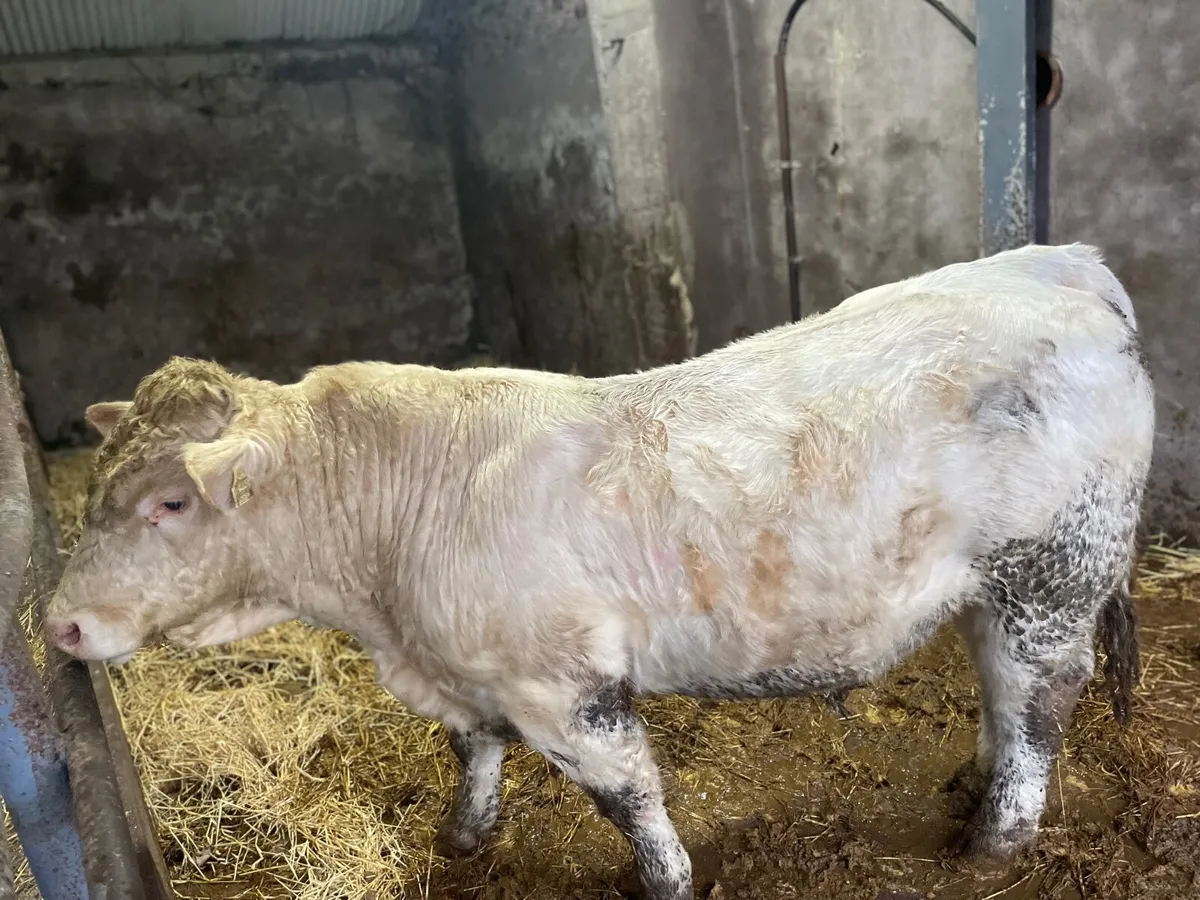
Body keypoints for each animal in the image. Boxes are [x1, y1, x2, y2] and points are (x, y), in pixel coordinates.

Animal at [45, 243, 1153, 900]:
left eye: (170, 502)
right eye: (100, 484)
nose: (59, 626)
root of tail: (1057, 262)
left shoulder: (567, 687)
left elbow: (629, 798)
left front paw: (666, 879)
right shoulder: (469, 669)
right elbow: (472, 748)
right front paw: (465, 837)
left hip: (1052, 574)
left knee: (1041, 700)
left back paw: (996, 839)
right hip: (992, 588)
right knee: (999, 691)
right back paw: (970, 785)